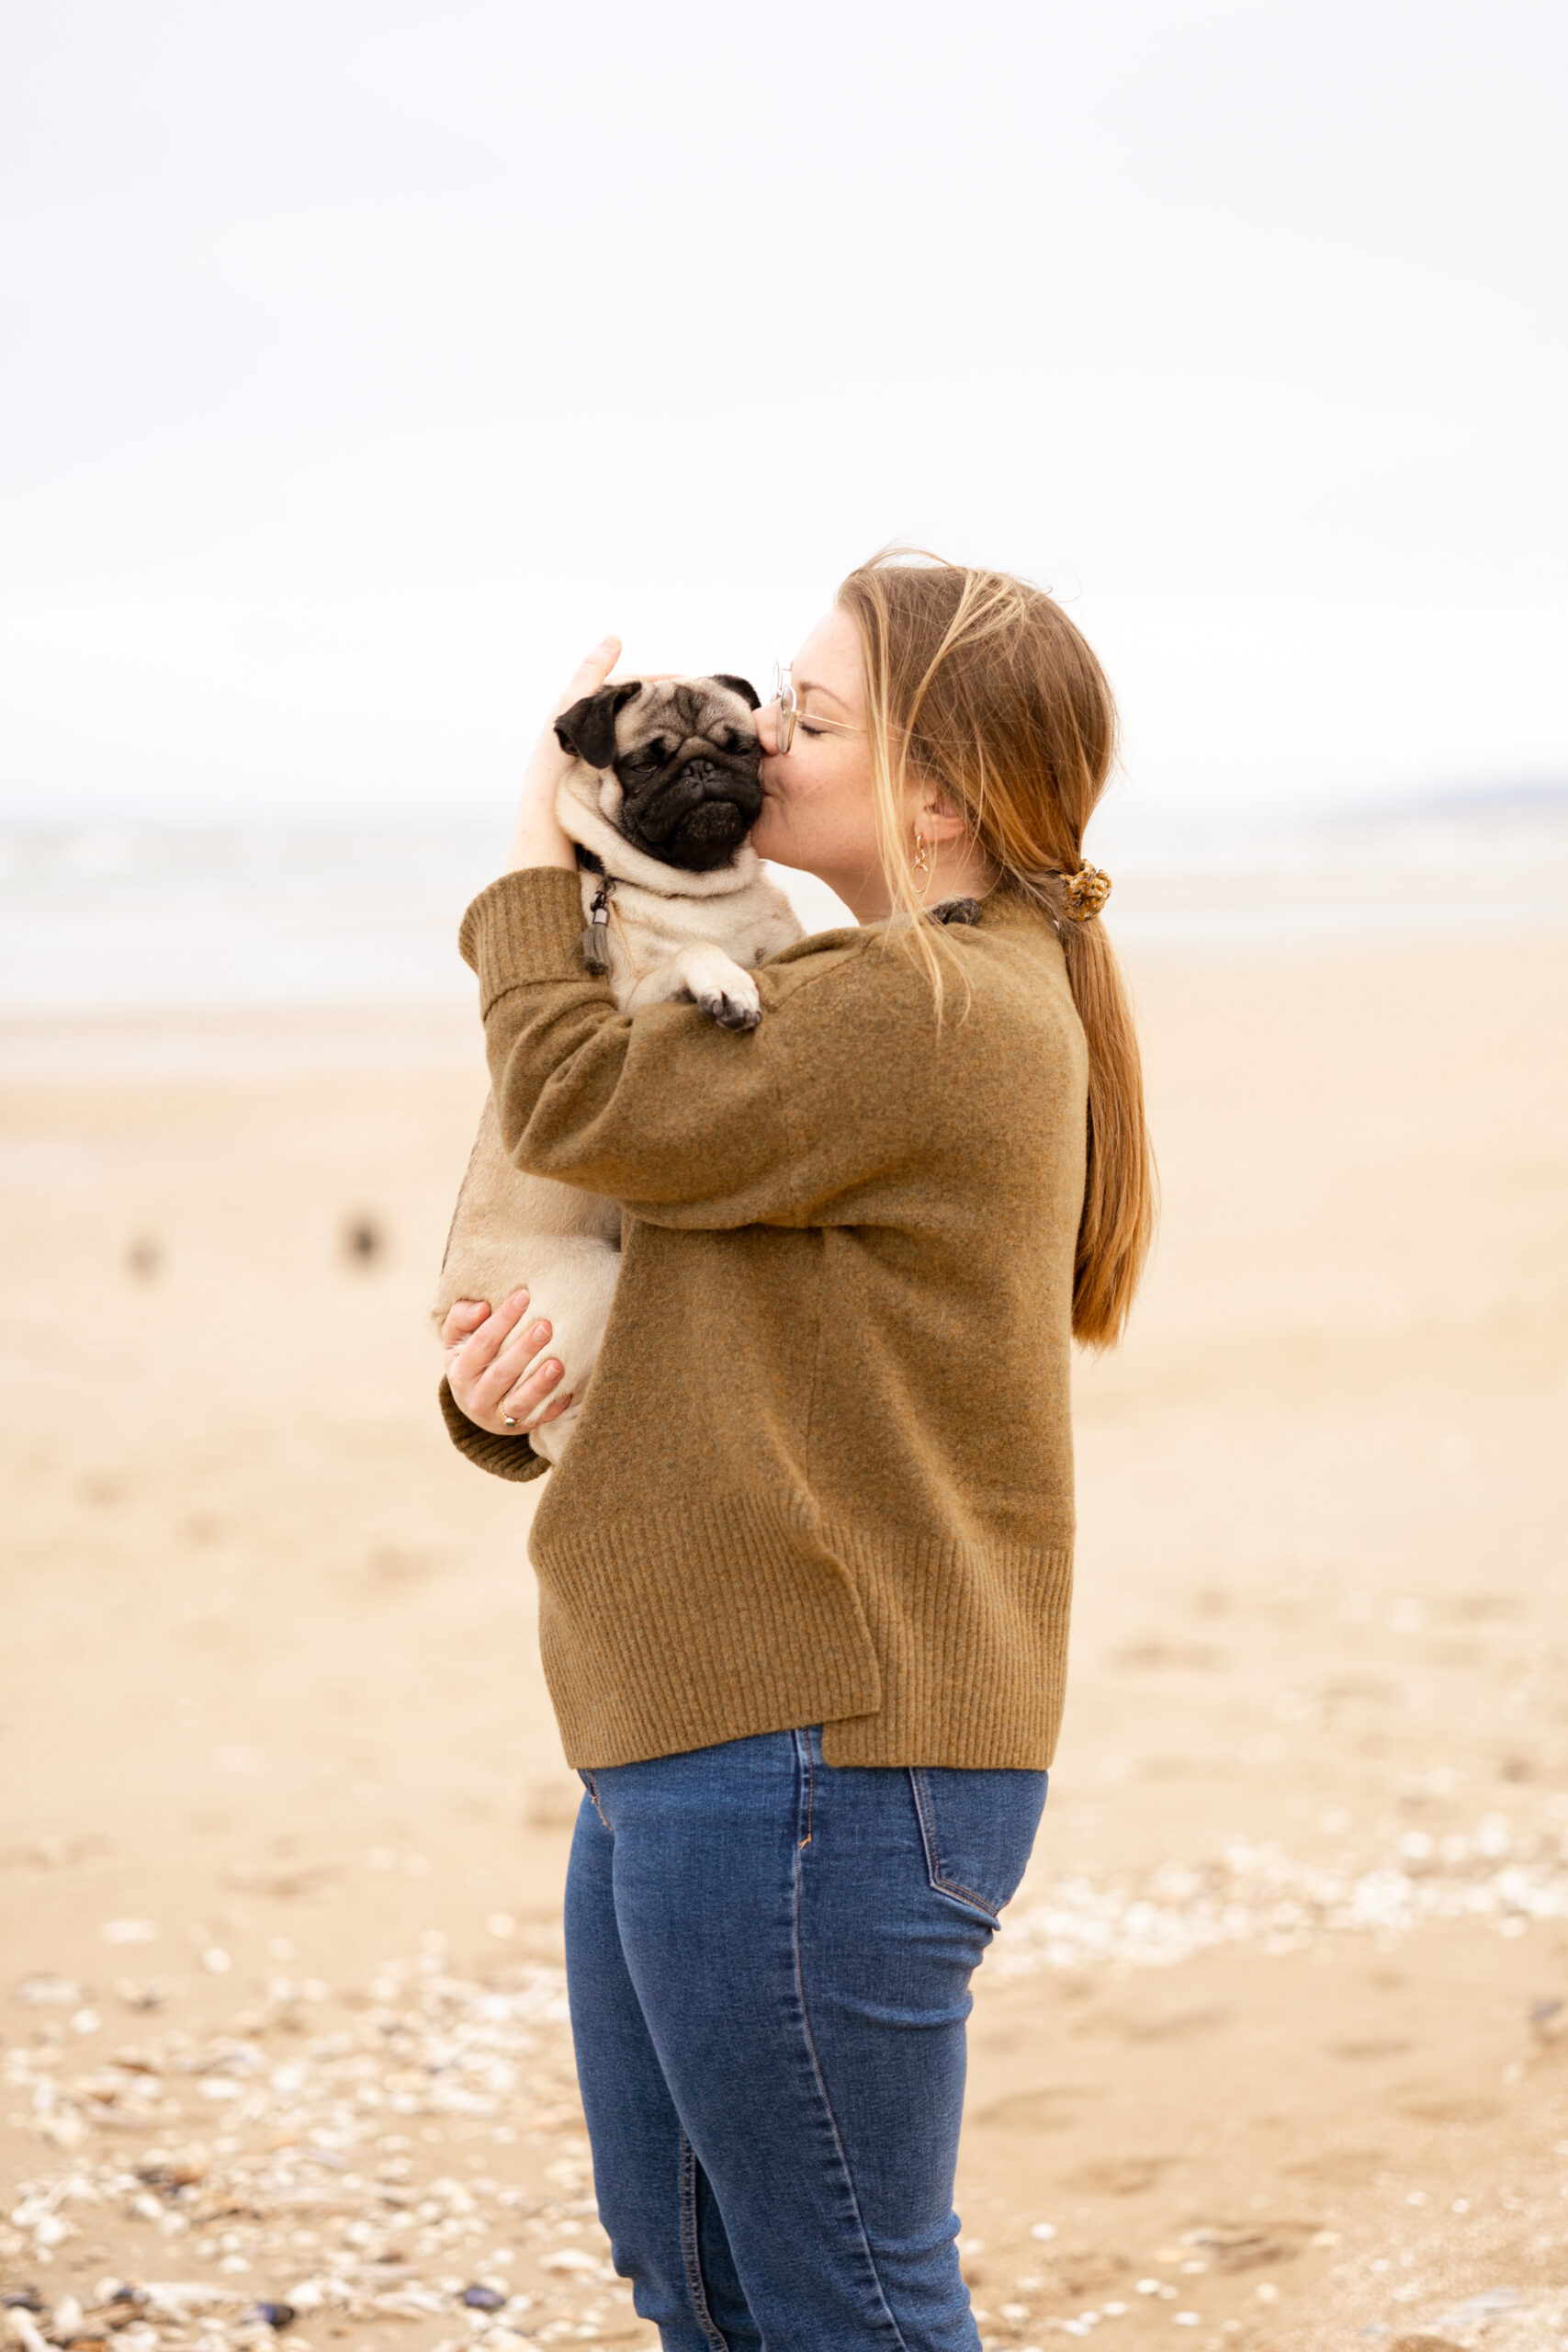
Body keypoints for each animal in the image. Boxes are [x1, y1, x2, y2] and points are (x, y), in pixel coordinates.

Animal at [434, 673, 804, 1458]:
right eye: (644, 762)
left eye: (740, 748)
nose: (702, 769)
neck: (697, 892)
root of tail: (446, 1311)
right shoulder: (625, 1010)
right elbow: (700, 956)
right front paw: (722, 981)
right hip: (597, 1282)